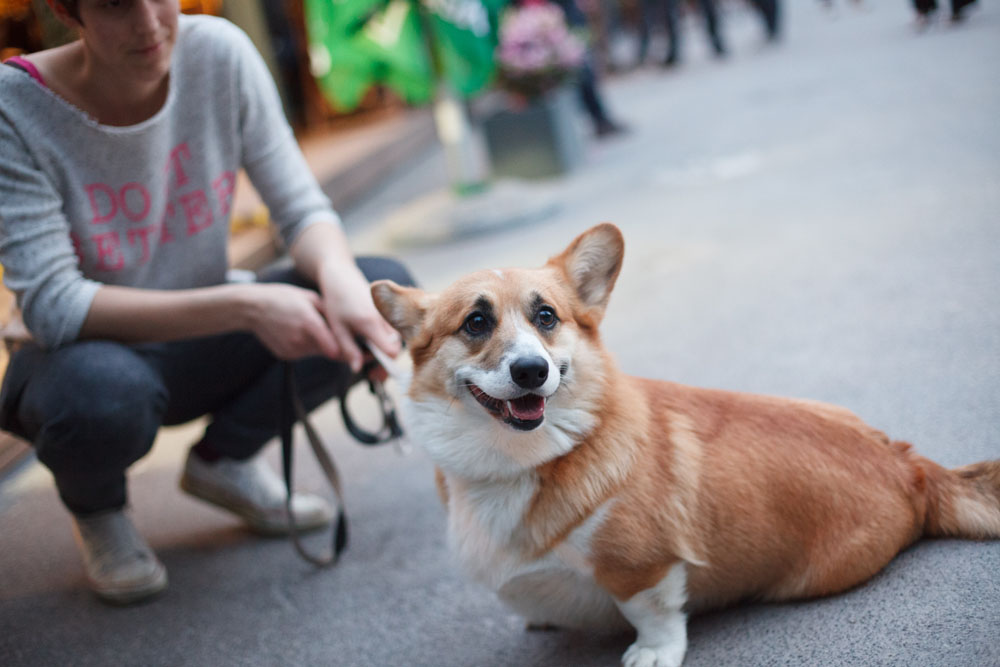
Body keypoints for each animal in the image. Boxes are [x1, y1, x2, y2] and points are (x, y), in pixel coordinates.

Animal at [372, 224, 1000, 667]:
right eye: (475, 323)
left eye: (546, 316)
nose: (532, 371)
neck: (519, 461)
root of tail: (911, 465)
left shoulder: (642, 564)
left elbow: (651, 611)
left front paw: (652, 653)